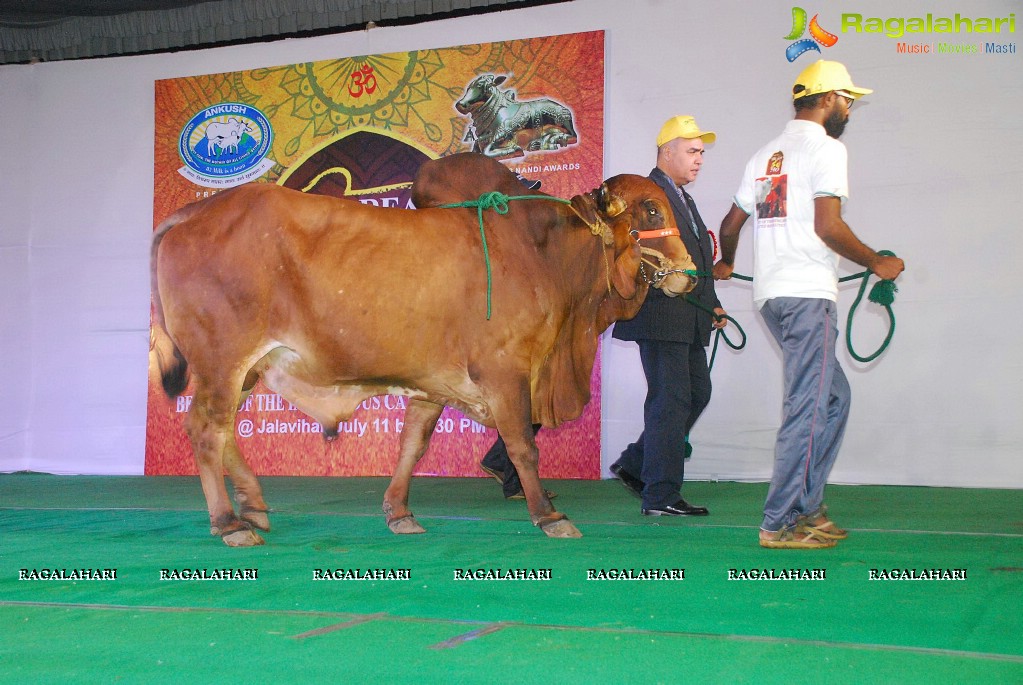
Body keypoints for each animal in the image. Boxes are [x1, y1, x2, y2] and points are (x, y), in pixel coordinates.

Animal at [149, 151, 695, 548]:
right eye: (650, 209)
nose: (690, 274)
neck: (541, 253)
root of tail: (196, 209)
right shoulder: (507, 374)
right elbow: (523, 445)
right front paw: (548, 514)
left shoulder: (433, 384)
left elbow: (412, 444)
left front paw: (399, 512)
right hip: (222, 362)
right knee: (206, 430)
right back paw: (229, 522)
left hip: (245, 371)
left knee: (224, 433)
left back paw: (255, 508)